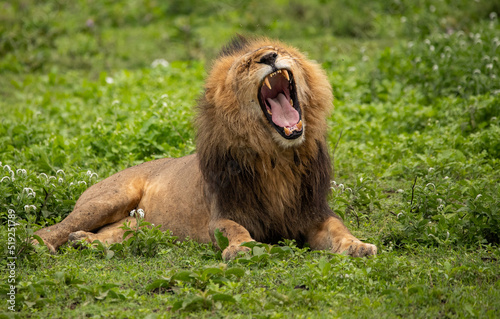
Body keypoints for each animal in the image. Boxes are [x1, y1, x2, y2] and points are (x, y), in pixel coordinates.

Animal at [34, 36, 376, 260]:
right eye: (246, 64)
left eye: (279, 52)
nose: (269, 57)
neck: (276, 157)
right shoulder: (223, 212)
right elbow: (234, 230)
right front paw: (243, 250)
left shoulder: (313, 211)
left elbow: (338, 227)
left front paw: (358, 246)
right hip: (108, 199)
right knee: (51, 229)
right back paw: (44, 246)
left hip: (139, 224)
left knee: (117, 236)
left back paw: (85, 242)